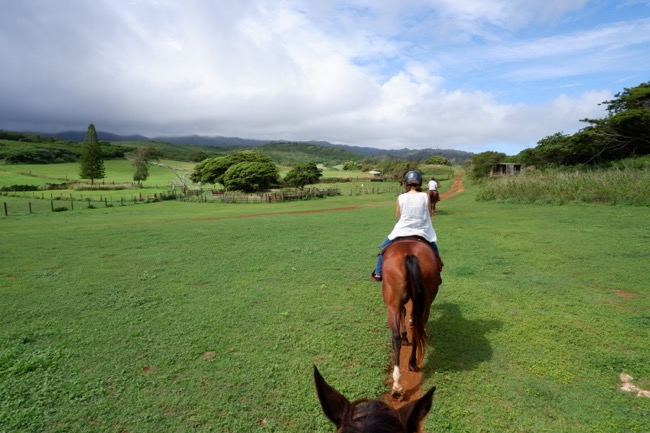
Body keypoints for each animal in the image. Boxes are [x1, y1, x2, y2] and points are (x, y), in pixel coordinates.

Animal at [380, 238, 440, 400]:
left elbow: (404, 311)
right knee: (417, 328)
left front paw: (404, 337)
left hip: (392, 303)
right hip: (426, 301)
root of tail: (409, 254)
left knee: (397, 337)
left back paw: (399, 383)